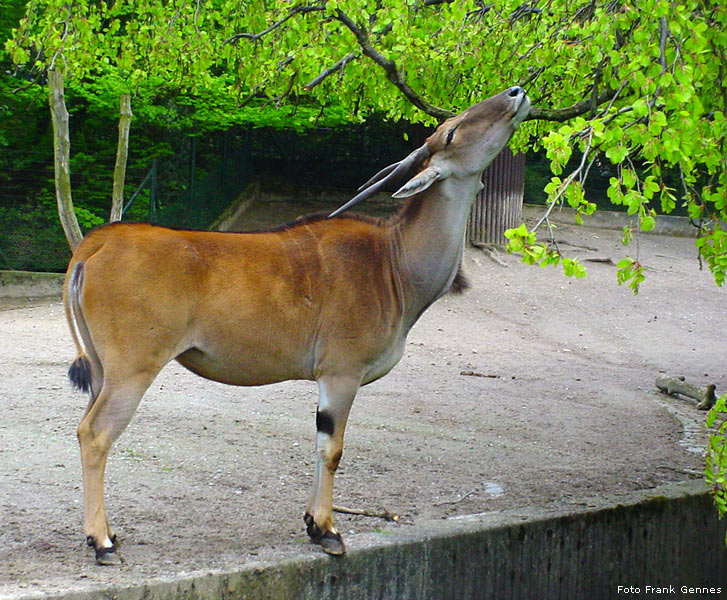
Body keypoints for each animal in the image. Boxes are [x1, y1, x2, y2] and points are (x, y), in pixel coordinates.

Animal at [65, 84, 528, 564]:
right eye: (452, 131)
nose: (516, 93)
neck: (392, 260)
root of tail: (93, 246)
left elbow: (321, 442)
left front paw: (311, 522)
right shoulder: (341, 373)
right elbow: (333, 448)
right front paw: (326, 529)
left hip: (101, 371)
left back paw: (108, 533)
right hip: (131, 370)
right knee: (95, 434)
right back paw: (101, 541)